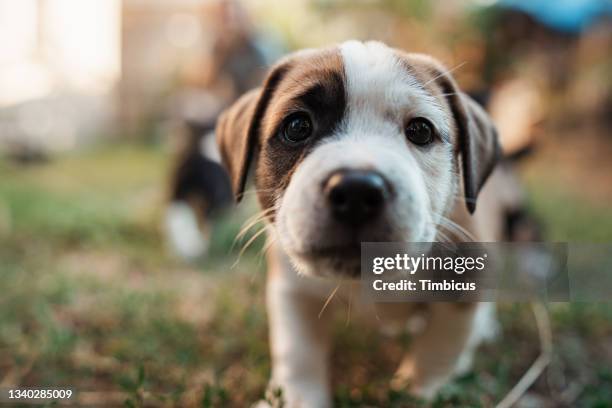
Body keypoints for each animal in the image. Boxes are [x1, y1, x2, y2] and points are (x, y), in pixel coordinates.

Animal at [218, 42, 510, 408]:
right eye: (297, 126)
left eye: (421, 130)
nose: (356, 190)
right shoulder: (293, 290)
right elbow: (297, 353)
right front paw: (295, 398)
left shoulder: (463, 289)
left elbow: (437, 353)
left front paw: (419, 394)